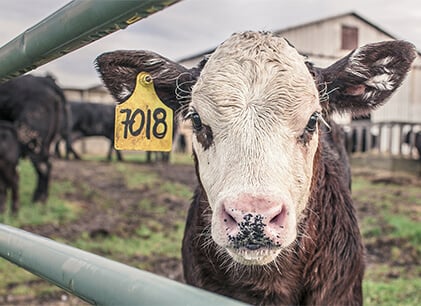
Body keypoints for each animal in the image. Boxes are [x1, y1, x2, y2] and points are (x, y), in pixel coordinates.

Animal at [0, 74, 66, 203]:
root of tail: (45, 80)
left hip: (31, 139)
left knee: (43, 166)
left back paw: (38, 199)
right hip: (45, 142)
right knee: (47, 164)